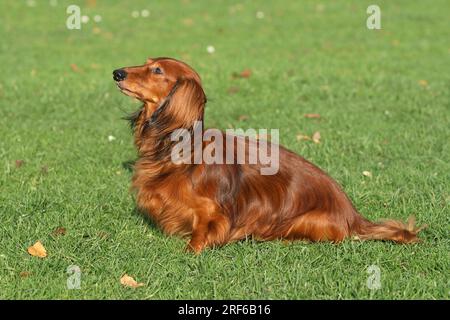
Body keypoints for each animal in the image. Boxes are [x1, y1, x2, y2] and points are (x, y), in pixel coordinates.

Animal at [113, 57, 426, 252]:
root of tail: (354, 216)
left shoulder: (213, 212)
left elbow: (202, 233)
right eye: (146, 63)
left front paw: (191, 251)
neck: (181, 148)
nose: (117, 73)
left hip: (302, 220)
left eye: (157, 71)